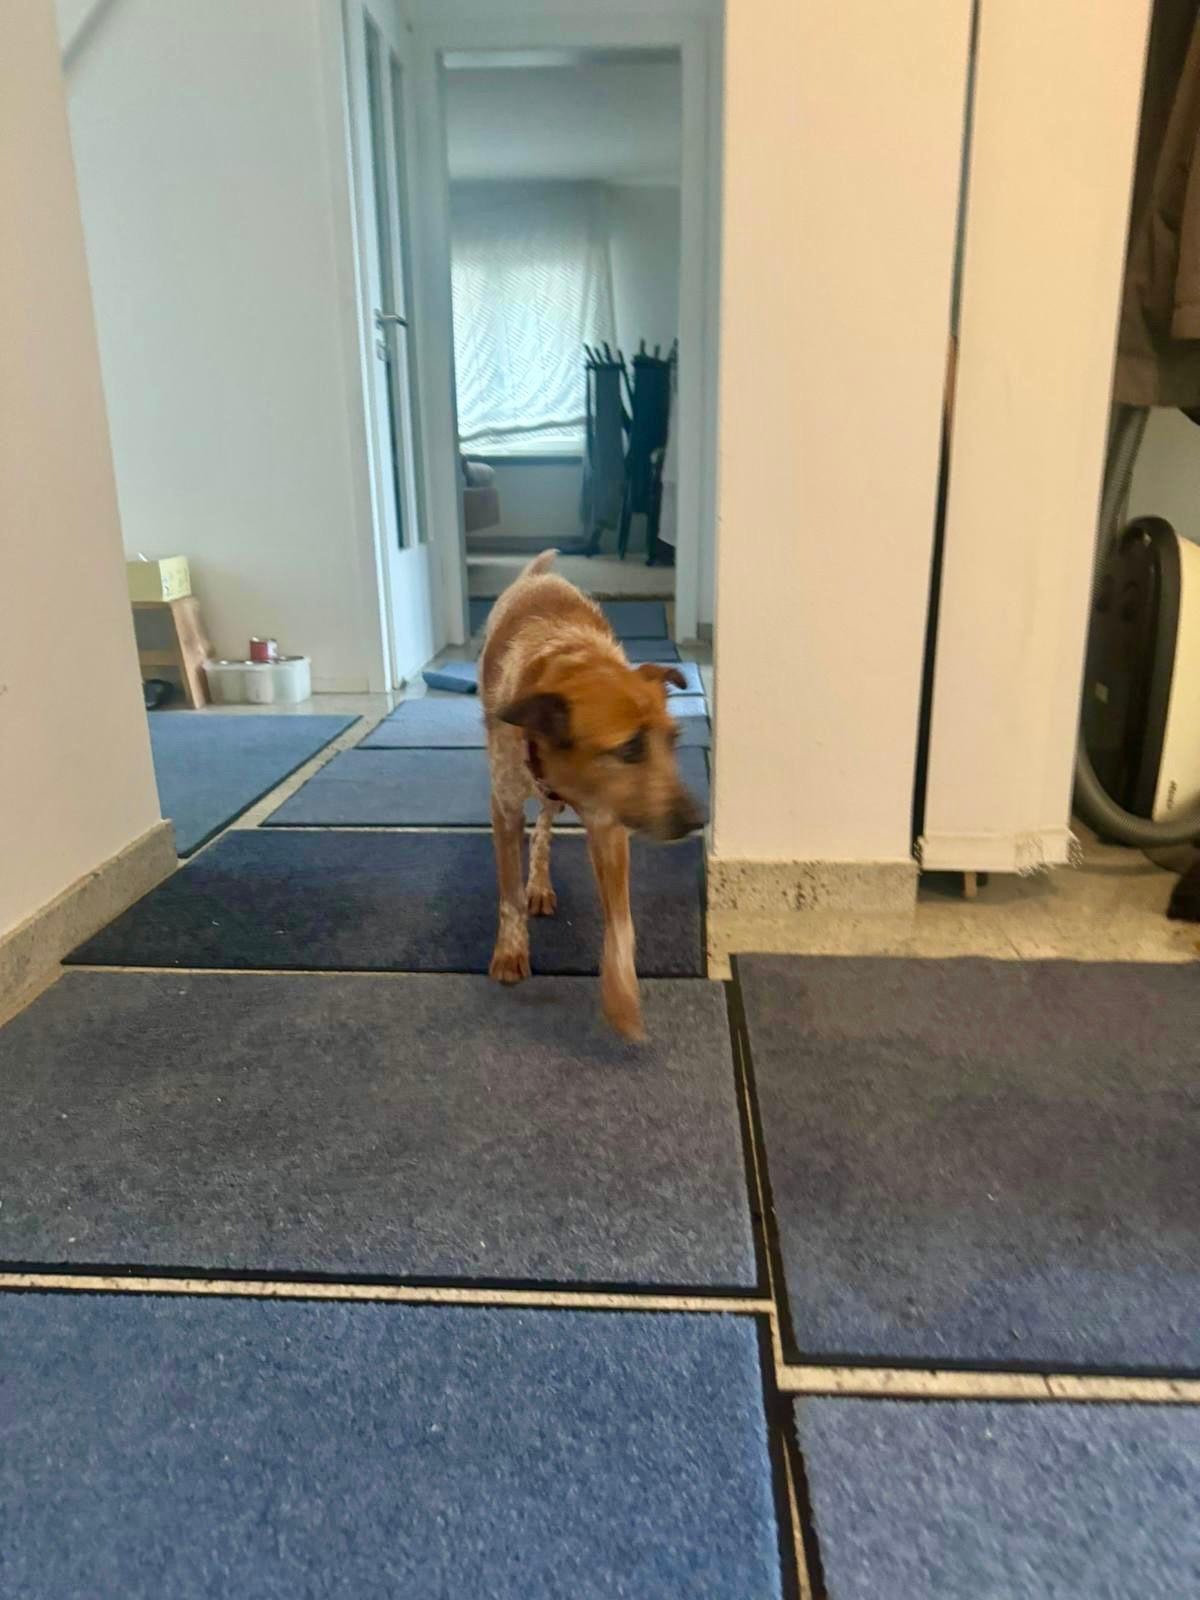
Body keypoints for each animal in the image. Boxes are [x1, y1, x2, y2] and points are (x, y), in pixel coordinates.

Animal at [480, 551, 704, 1038]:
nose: (698, 820)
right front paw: (510, 951)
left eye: (674, 740)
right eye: (630, 748)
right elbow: (508, 894)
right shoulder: (504, 805)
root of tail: (539, 575)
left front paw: (622, 1001)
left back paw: (540, 882)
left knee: (545, 826)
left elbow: (620, 924)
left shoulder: (609, 825)